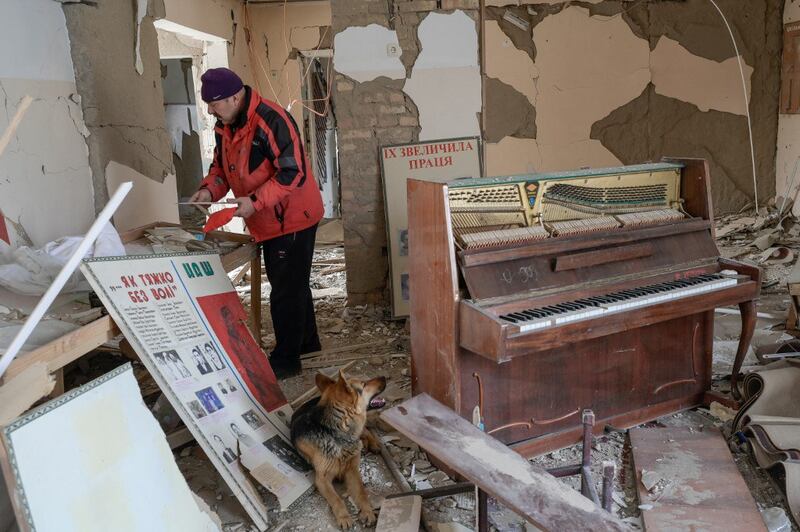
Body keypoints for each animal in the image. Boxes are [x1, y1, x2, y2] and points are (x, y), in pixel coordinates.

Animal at [290, 370, 388, 528]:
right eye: (364, 384)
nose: (384, 377)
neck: (335, 431)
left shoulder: (352, 470)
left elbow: (361, 492)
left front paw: (367, 511)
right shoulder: (322, 479)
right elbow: (336, 499)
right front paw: (344, 517)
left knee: (365, 430)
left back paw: (373, 443)